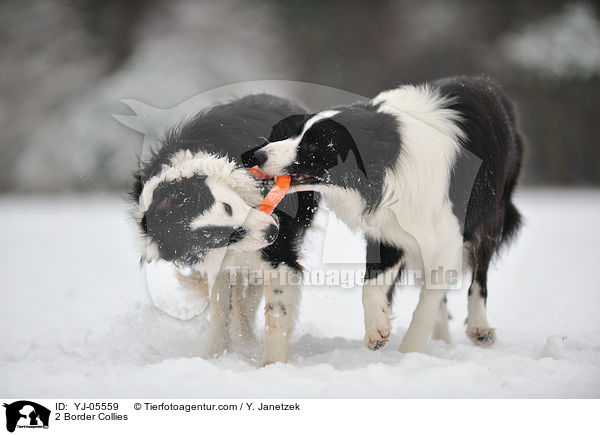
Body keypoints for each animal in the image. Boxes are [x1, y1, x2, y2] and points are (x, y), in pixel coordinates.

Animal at [131, 93, 318, 366]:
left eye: (228, 207)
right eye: (217, 238)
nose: (271, 232)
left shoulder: (279, 254)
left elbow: (276, 310)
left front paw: (273, 364)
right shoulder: (219, 257)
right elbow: (221, 310)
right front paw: (214, 358)